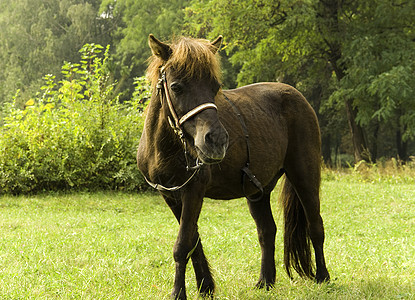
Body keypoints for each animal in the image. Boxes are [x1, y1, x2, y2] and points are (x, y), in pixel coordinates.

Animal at [138, 34, 330, 298]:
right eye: (176, 87)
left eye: (214, 86)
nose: (217, 140)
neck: (164, 147)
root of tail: (297, 96)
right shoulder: (172, 196)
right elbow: (193, 241)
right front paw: (205, 286)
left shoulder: (193, 191)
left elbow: (182, 244)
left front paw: (179, 292)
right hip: (258, 191)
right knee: (267, 231)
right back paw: (265, 281)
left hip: (304, 176)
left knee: (315, 225)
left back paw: (322, 276)